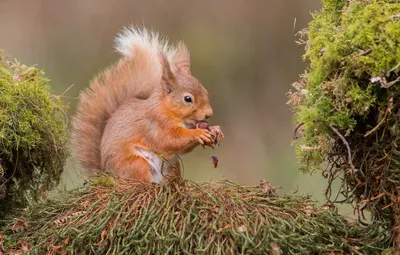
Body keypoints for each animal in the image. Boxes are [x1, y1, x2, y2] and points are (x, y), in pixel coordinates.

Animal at [71, 26, 222, 182]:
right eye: (187, 99)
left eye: (205, 90)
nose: (209, 114)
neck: (167, 109)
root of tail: (108, 174)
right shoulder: (158, 123)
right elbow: (171, 140)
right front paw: (198, 133)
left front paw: (215, 130)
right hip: (136, 164)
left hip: (172, 166)